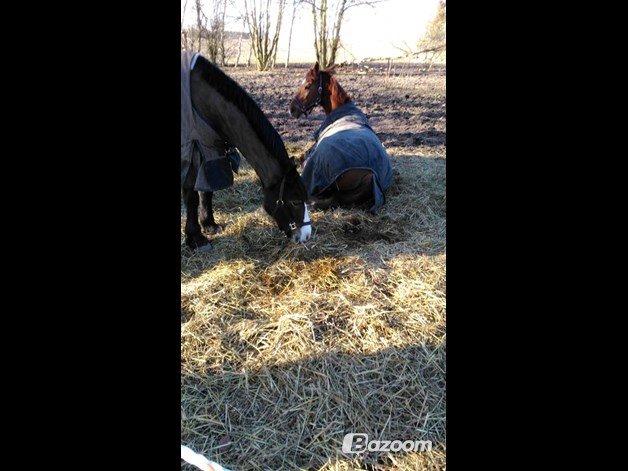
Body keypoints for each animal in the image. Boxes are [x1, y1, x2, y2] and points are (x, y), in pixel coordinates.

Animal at [180, 50, 310, 251]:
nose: (306, 235)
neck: (200, 102)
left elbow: (206, 190)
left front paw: (209, 224)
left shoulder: (208, 149)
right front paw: (196, 238)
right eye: (295, 201)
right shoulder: (191, 148)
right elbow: (192, 195)